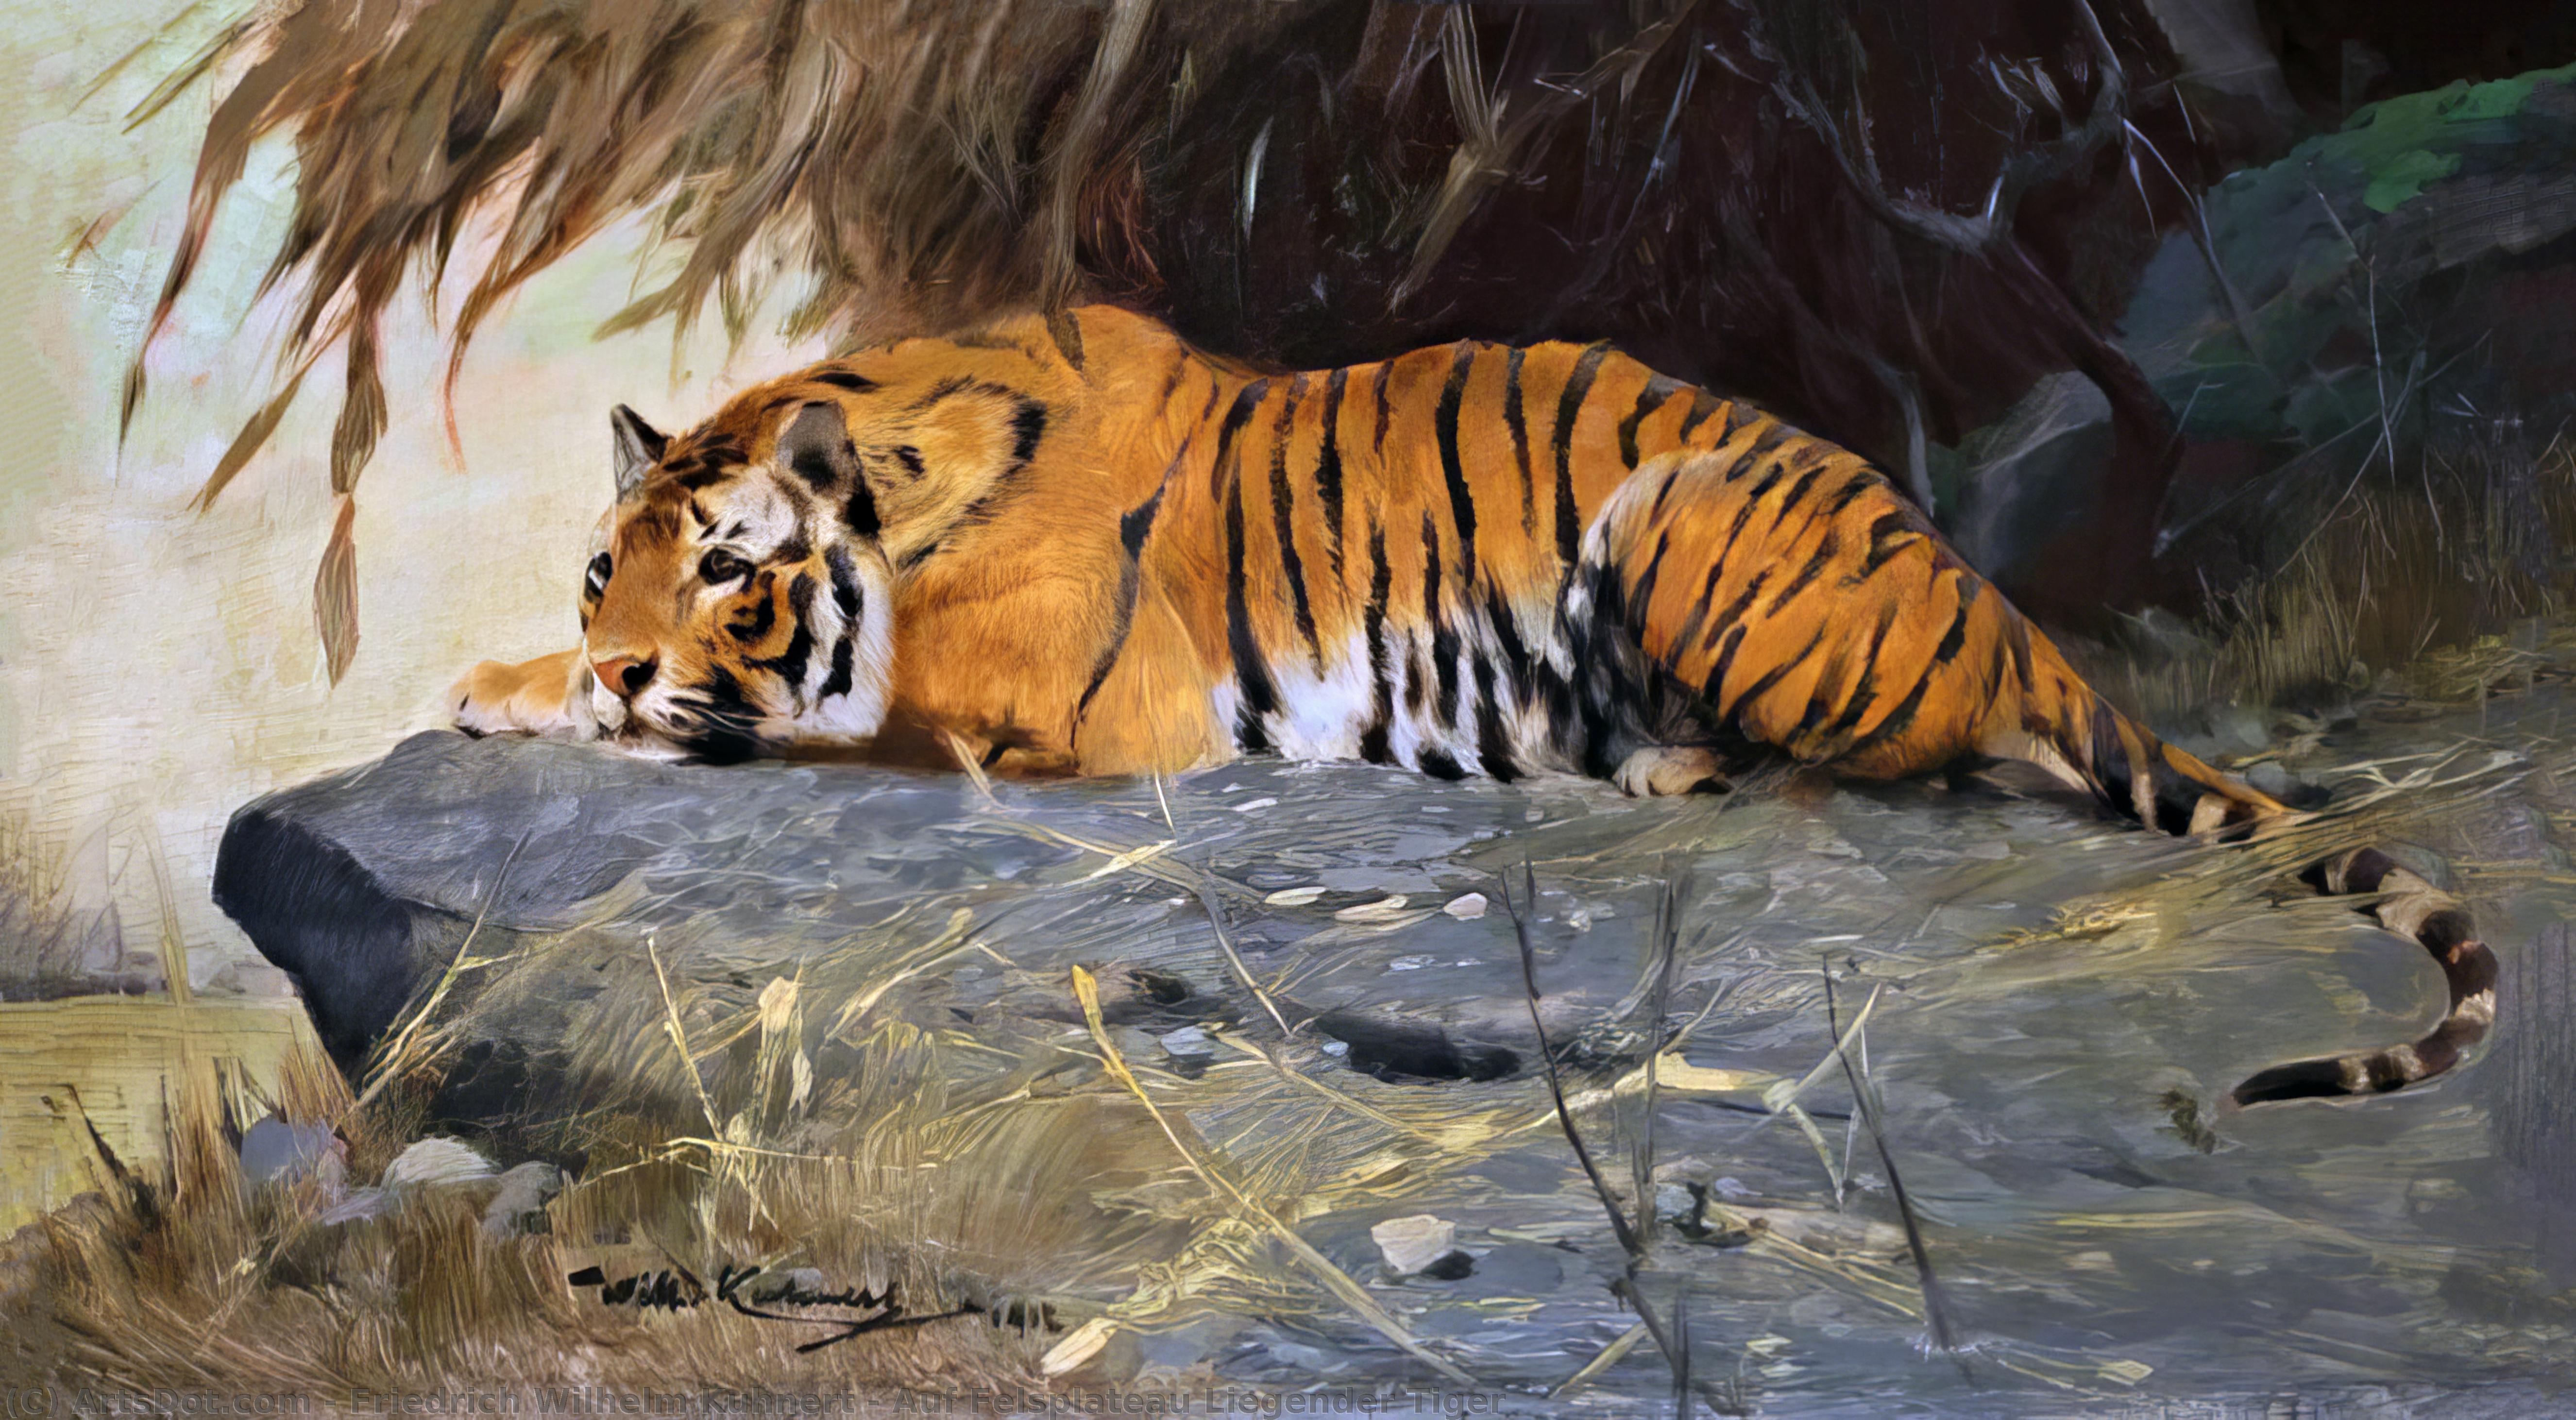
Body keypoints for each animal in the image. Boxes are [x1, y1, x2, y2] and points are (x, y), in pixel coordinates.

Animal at [449, 303, 2496, 1108]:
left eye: (730, 568)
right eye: (604, 568)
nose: (615, 648)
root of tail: (2014, 627)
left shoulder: (1064, 722)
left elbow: (796, 717)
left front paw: (576, 704)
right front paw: (502, 678)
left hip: (1676, 518)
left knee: (1829, 771)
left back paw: (1646, 766)